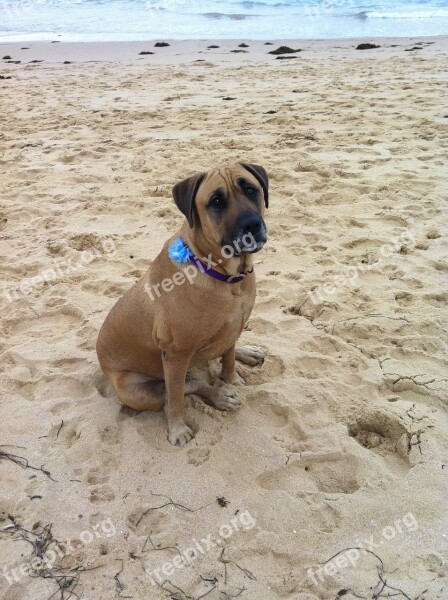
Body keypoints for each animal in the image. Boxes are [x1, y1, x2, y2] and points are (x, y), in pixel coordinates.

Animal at [96, 163, 268, 446]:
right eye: (216, 201)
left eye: (251, 189)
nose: (252, 225)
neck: (227, 277)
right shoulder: (176, 354)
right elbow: (176, 397)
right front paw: (177, 429)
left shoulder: (235, 326)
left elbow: (229, 358)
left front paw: (231, 378)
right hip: (137, 390)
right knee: (181, 389)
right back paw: (218, 396)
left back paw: (247, 354)